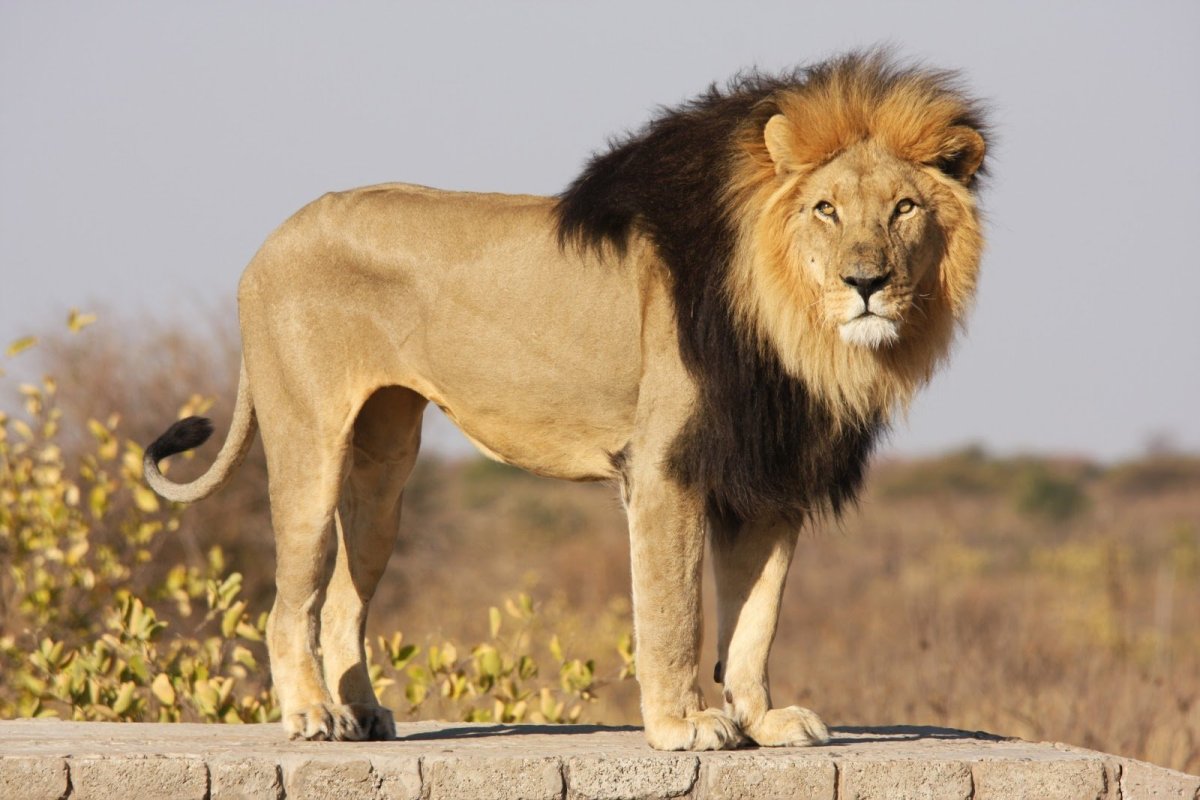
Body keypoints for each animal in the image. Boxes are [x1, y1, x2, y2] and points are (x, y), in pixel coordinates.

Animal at [144, 52, 987, 751]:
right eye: (826, 209)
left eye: (904, 208)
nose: (867, 282)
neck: (797, 330)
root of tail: (272, 240)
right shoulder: (665, 465)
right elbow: (675, 611)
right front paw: (683, 726)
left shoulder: (769, 474)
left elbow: (756, 617)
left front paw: (763, 719)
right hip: (310, 446)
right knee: (292, 600)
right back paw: (313, 714)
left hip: (383, 469)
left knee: (348, 594)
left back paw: (362, 713)